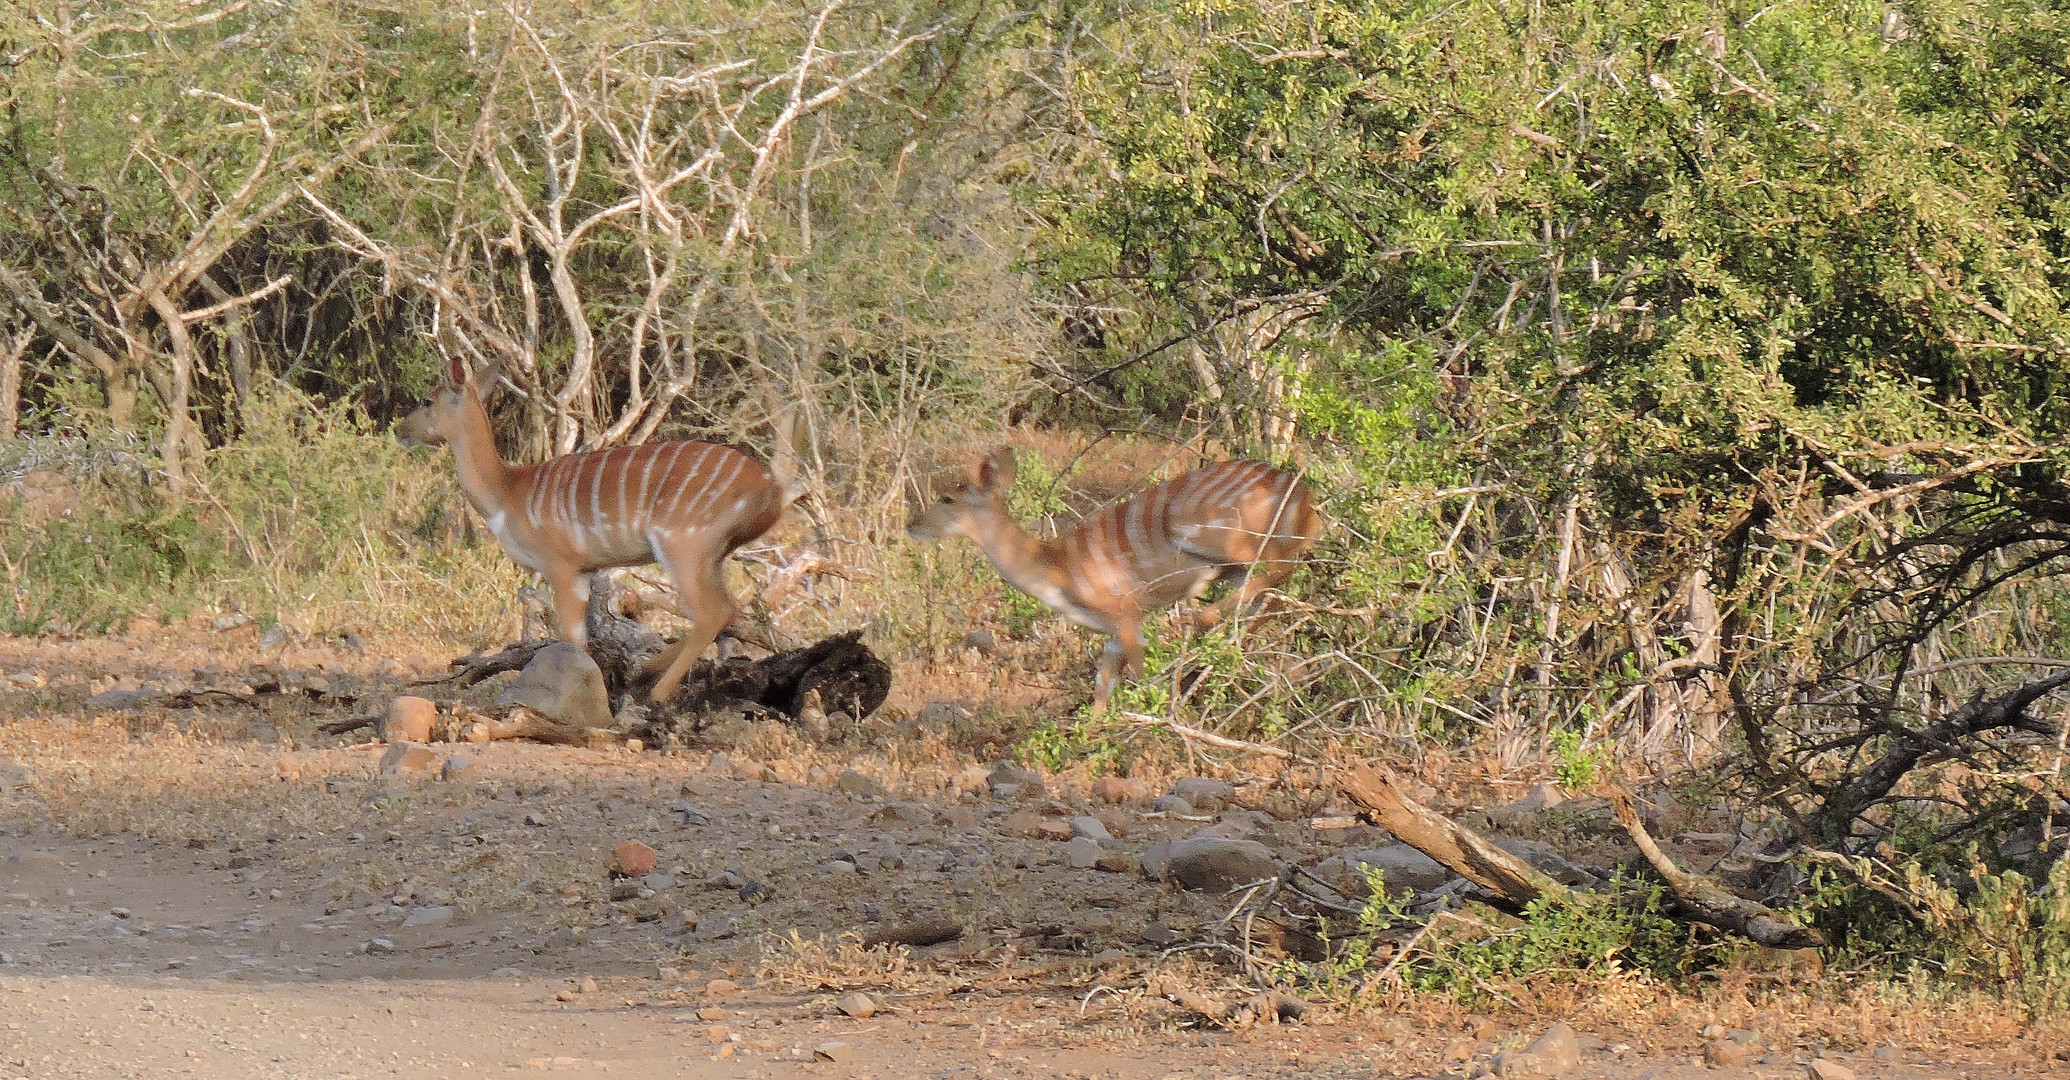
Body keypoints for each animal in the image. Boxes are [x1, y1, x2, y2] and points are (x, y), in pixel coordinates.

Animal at [401, 357, 790, 703]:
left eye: (427, 399)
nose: (400, 430)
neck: (507, 492)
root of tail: (770, 488)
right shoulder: (586, 570)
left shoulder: (561, 566)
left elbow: (571, 638)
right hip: (715, 555)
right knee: (730, 609)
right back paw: (645, 672)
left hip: (683, 547)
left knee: (712, 612)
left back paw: (656, 694)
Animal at [910, 446, 1324, 711]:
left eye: (948, 498)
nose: (912, 525)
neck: (1055, 567)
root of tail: (1303, 500)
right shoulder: (1110, 633)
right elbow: (1102, 687)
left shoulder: (1127, 614)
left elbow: (1140, 676)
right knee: (1271, 589)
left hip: (1215, 535)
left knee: (1271, 568)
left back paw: (1198, 620)